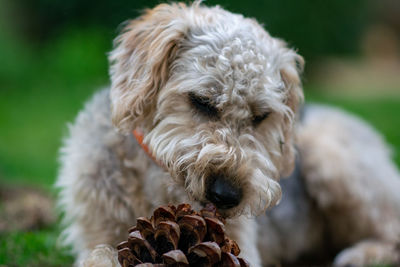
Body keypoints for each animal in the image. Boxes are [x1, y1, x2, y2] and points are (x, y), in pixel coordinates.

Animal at [56, 1, 400, 266]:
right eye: (202, 101)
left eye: (261, 116)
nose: (227, 196)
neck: (157, 182)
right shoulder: (93, 230)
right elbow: (98, 255)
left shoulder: (243, 249)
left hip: (332, 157)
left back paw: (360, 254)